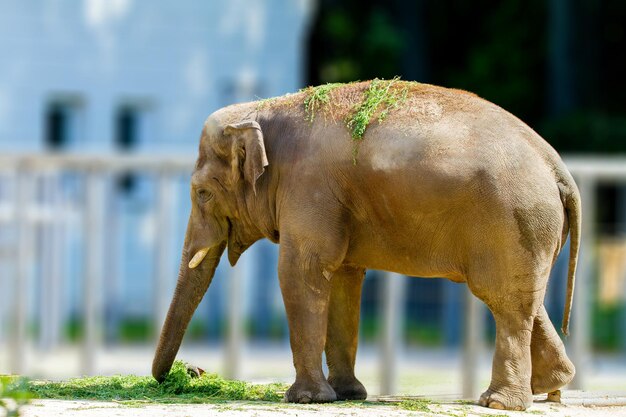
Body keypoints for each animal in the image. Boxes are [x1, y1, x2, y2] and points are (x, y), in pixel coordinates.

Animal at [150, 79, 576, 410]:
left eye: (202, 193)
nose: (188, 371)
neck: (264, 109)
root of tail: (557, 166)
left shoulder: (309, 187)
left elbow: (300, 271)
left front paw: (306, 399)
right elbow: (343, 277)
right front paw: (348, 394)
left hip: (511, 220)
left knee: (504, 302)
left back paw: (499, 402)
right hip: (526, 229)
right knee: (524, 299)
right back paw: (551, 385)